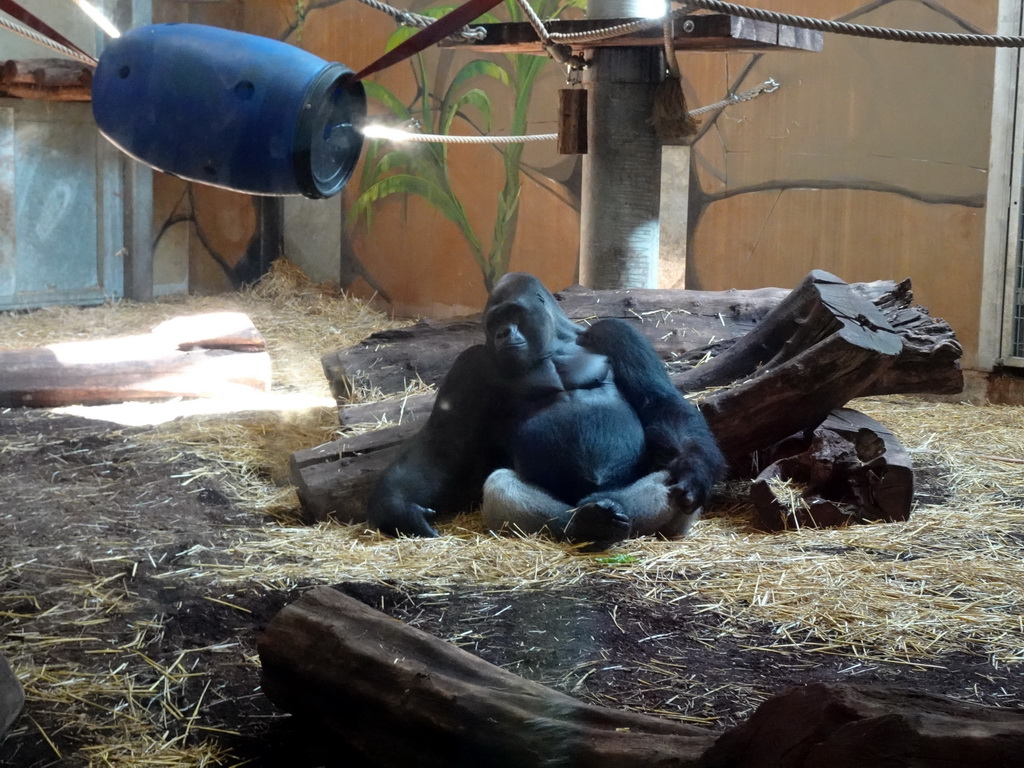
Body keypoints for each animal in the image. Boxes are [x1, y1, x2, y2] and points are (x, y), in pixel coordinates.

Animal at [364, 274, 724, 548]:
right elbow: (444, 442)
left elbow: (660, 402)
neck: (554, 344)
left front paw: (694, 469)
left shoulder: (617, 333)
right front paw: (397, 508)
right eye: (494, 321)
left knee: (666, 481)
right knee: (502, 487)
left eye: (513, 314)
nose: (502, 333)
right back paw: (588, 522)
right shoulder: (470, 364)